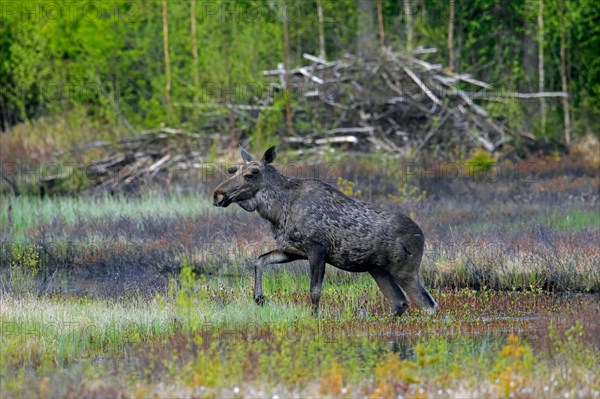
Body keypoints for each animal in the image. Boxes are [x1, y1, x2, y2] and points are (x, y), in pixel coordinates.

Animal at [213, 145, 438, 318]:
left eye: (251, 173)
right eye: (233, 170)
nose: (218, 194)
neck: (277, 212)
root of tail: (422, 235)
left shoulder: (317, 249)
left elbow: (315, 290)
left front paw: (314, 318)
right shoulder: (291, 250)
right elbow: (260, 260)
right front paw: (259, 297)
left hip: (405, 270)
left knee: (428, 305)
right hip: (378, 269)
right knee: (400, 302)